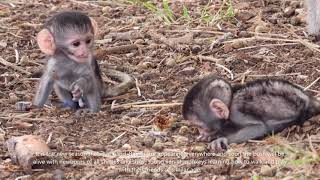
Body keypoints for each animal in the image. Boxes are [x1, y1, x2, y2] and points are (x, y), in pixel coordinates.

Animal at [182, 76, 320, 152]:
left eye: (200, 126)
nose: (201, 131)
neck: (231, 99)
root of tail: (309, 100)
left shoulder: (236, 112)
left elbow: (258, 127)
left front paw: (221, 138)